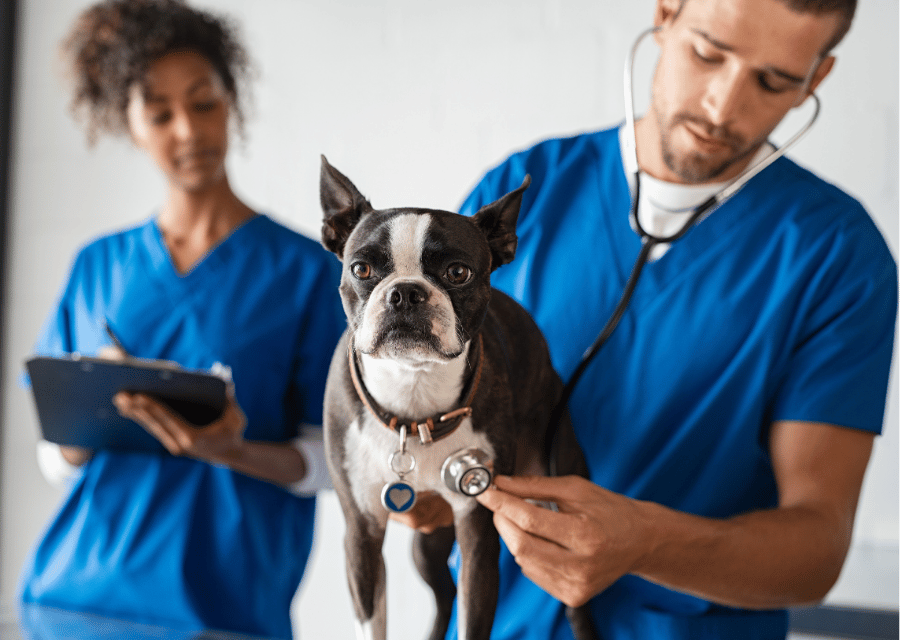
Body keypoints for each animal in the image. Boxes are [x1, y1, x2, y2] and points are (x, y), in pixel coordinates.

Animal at [318, 156, 596, 640]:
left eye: (457, 273)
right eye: (361, 270)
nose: (405, 292)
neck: (413, 400)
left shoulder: (477, 532)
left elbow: (473, 616)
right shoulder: (362, 532)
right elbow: (373, 620)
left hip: (557, 497)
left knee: (573, 602)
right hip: (426, 544)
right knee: (444, 593)